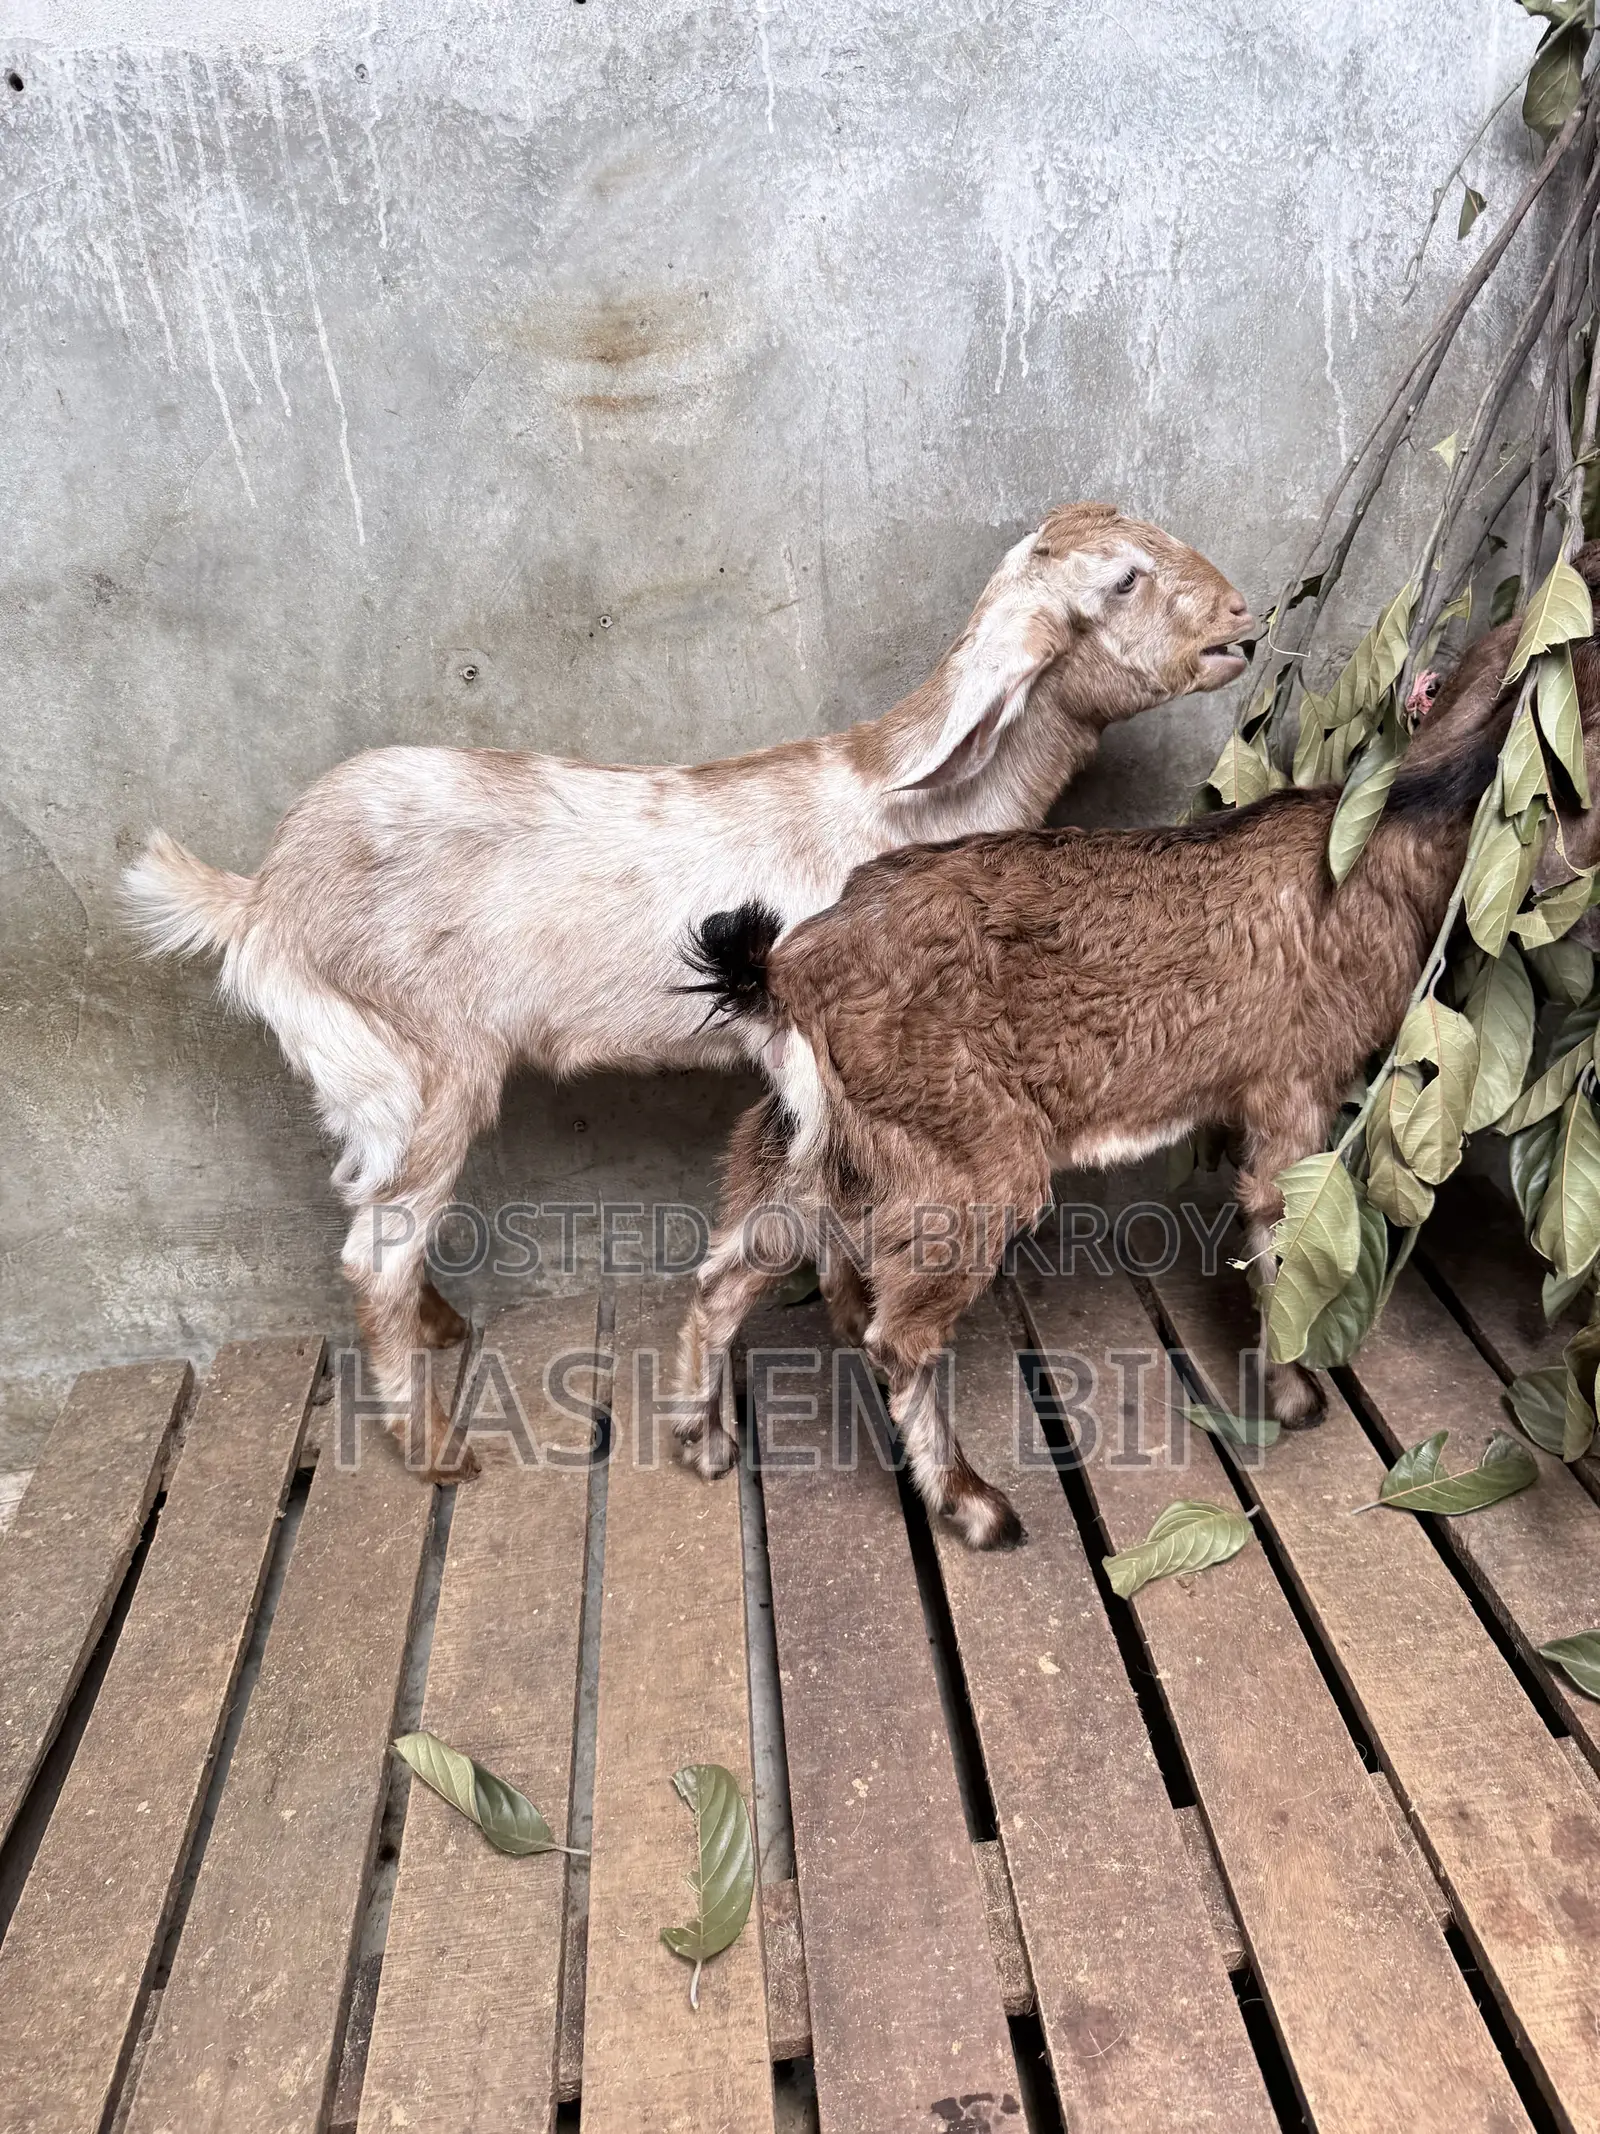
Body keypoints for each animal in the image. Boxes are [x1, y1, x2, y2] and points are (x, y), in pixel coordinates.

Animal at [121, 503, 1250, 1480]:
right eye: (1124, 579)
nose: (1241, 620)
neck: (905, 806)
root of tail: (260, 901)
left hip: (367, 1083)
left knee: (364, 1198)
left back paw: (439, 1326)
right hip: (427, 1064)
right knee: (374, 1249)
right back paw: (435, 1446)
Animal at [677, 555, 1600, 1548]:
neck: (1390, 831)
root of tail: (788, 971)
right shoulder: (1295, 1081)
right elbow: (1276, 1229)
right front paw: (1293, 1393)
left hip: (813, 1140)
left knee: (729, 1272)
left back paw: (705, 1441)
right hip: (963, 1154)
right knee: (895, 1331)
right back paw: (973, 1502)